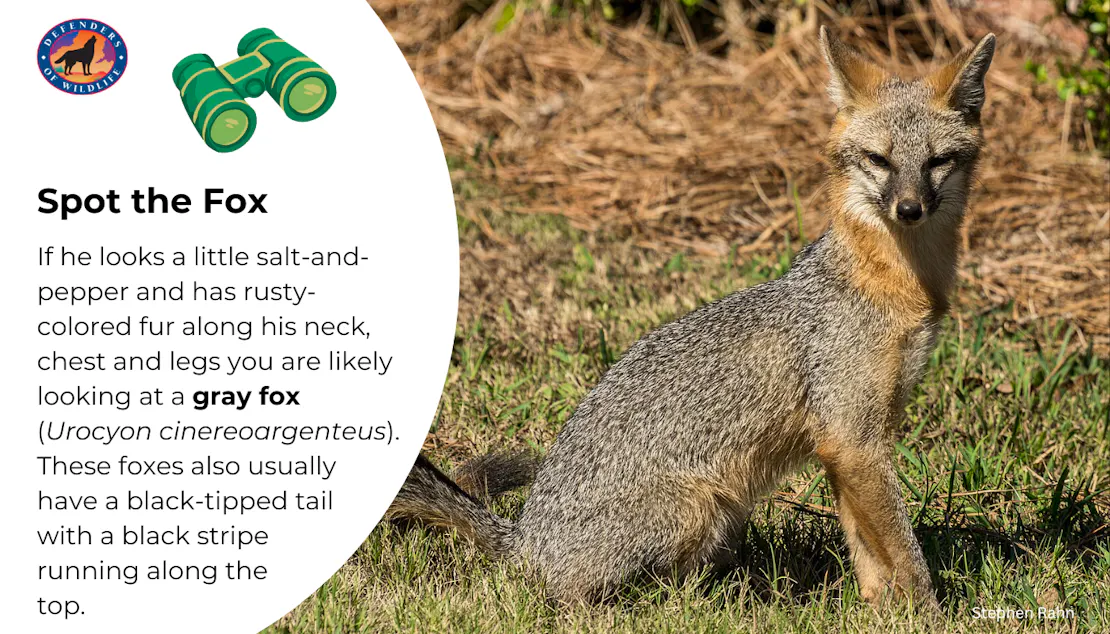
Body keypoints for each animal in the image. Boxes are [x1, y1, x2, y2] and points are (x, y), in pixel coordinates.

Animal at [389, 26, 996, 609]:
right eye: (879, 160)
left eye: (937, 161)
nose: (909, 209)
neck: (898, 284)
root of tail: (527, 537)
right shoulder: (853, 438)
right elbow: (902, 549)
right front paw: (931, 613)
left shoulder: (854, 440)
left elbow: (869, 552)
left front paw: (881, 610)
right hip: (697, 507)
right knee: (601, 594)